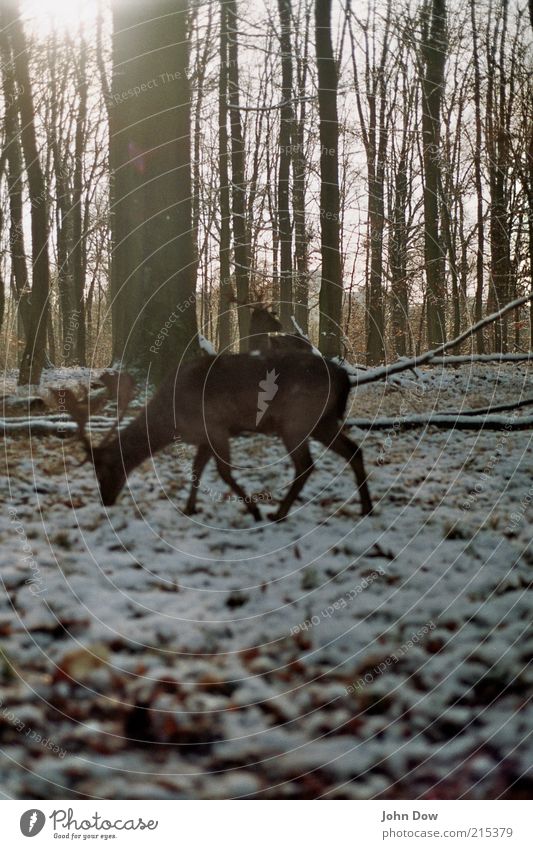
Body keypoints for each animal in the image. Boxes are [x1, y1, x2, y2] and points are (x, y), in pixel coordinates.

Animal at [53, 350, 370, 520]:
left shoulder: (216, 428)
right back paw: (365, 508)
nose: (105, 500)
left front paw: (253, 510)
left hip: (296, 422)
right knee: (354, 450)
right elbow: (197, 470)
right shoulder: (204, 437)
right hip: (321, 422)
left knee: (306, 464)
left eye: (105, 468)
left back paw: (278, 513)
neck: (172, 420)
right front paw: (189, 507)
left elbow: (223, 472)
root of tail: (344, 377)